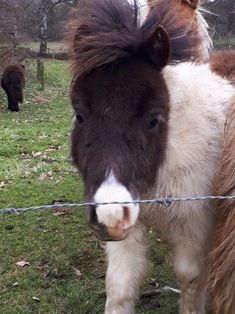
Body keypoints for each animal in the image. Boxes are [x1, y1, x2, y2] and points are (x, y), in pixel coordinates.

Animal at [69, 0, 234, 314]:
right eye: (79, 115)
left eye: (154, 118)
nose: (108, 215)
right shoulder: (130, 227)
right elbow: (119, 287)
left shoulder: (196, 227)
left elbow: (191, 279)